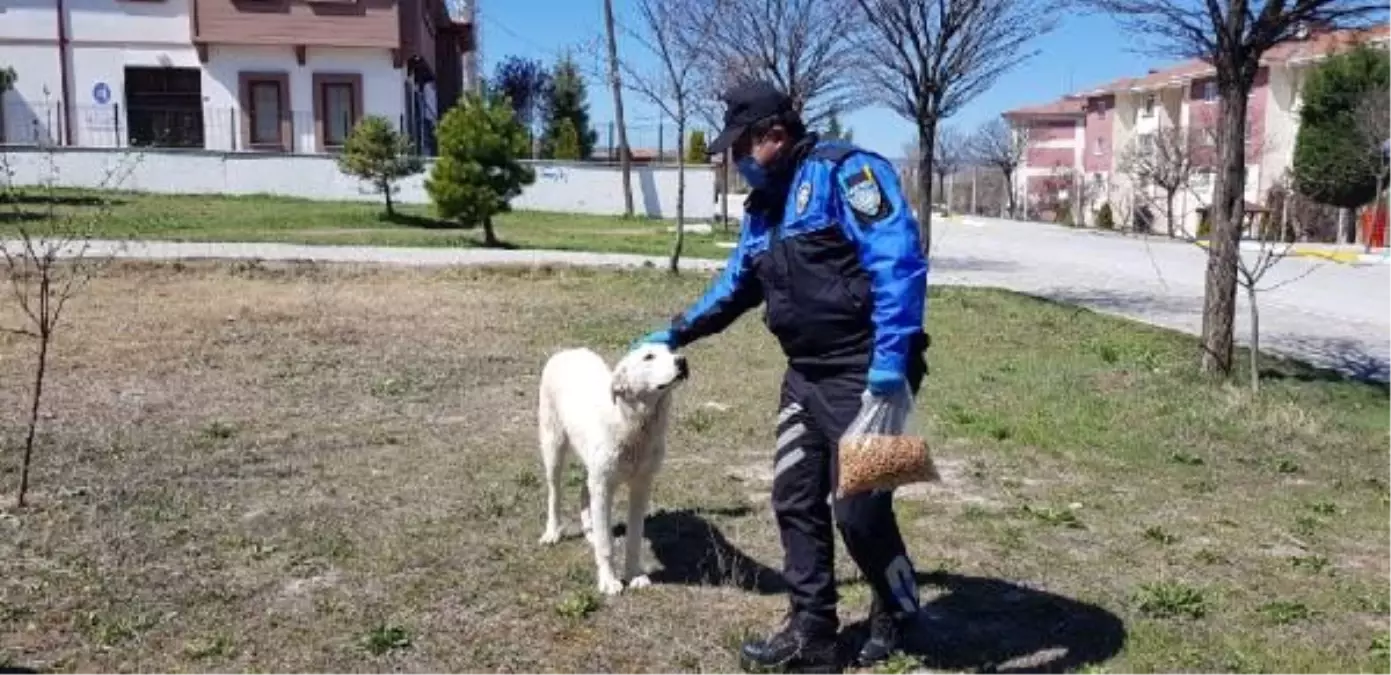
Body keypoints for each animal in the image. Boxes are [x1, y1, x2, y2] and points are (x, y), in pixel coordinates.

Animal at [534, 342, 687, 595]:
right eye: (649, 357)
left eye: (671, 351)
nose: (682, 361)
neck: (634, 425)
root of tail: (568, 350)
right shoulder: (604, 487)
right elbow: (606, 545)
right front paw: (608, 581)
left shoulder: (641, 486)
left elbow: (634, 539)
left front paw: (634, 574)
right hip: (553, 446)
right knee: (554, 492)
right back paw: (553, 532)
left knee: (584, 491)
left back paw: (590, 531)